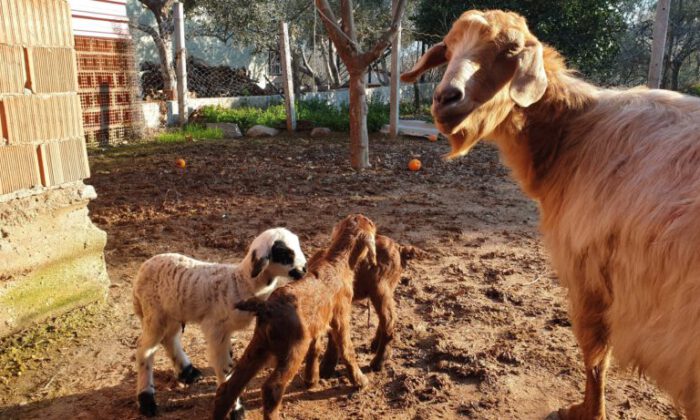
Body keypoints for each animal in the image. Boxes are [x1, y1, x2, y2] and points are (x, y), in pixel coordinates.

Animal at [131, 230, 306, 416]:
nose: (304, 269)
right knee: (144, 350)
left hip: (173, 311)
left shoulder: (225, 331)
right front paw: (234, 409)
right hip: (154, 312)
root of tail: (143, 267)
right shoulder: (216, 329)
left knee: (169, 338)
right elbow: (224, 366)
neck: (240, 283)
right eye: (284, 253)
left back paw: (188, 372)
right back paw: (146, 400)